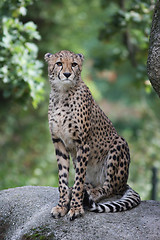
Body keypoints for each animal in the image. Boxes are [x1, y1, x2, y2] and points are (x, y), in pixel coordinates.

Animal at [44, 49, 140, 220]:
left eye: (74, 64)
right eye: (59, 63)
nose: (67, 74)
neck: (62, 93)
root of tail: (125, 182)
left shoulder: (82, 143)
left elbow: (78, 180)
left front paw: (75, 208)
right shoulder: (58, 142)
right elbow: (62, 178)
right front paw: (62, 205)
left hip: (119, 144)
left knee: (109, 187)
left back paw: (92, 193)